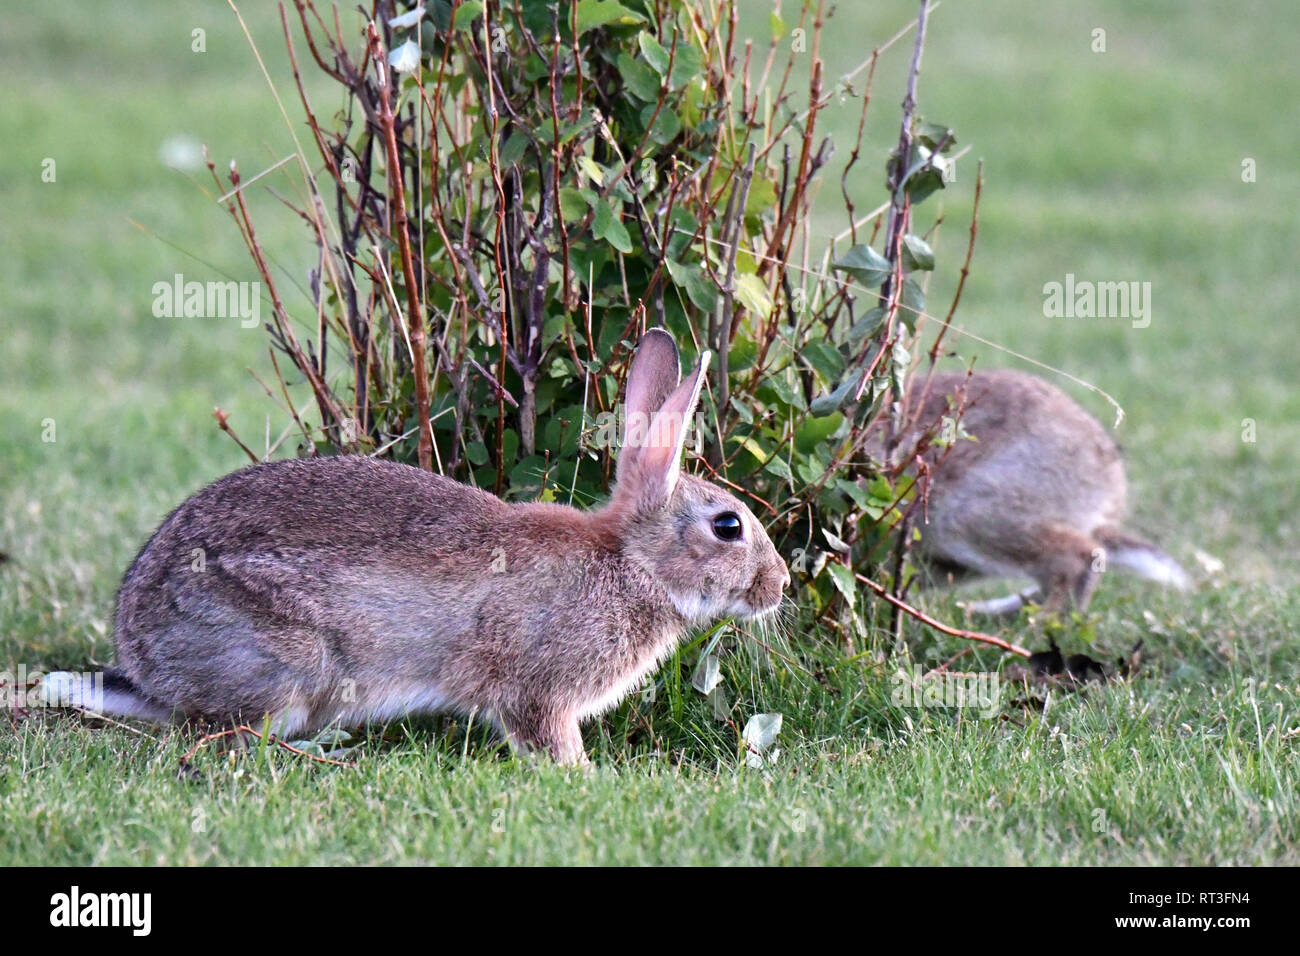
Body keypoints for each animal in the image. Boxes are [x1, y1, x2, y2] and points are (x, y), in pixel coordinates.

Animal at [46, 329, 789, 764]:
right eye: (728, 527)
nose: (779, 585)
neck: (632, 563)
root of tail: (141, 649)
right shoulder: (537, 689)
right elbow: (545, 736)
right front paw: (584, 776)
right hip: (285, 661)